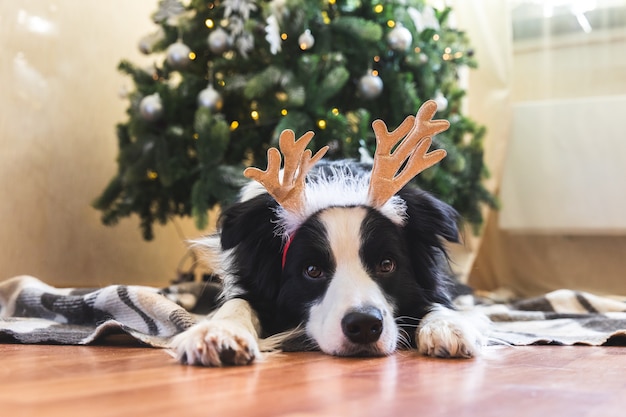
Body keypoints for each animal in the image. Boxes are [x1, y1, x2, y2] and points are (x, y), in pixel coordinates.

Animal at [172, 101, 488, 364]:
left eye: (387, 264)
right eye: (312, 270)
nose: (364, 325)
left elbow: (435, 302)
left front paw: (449, 325)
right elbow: (238, 303)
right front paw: (217, 332)